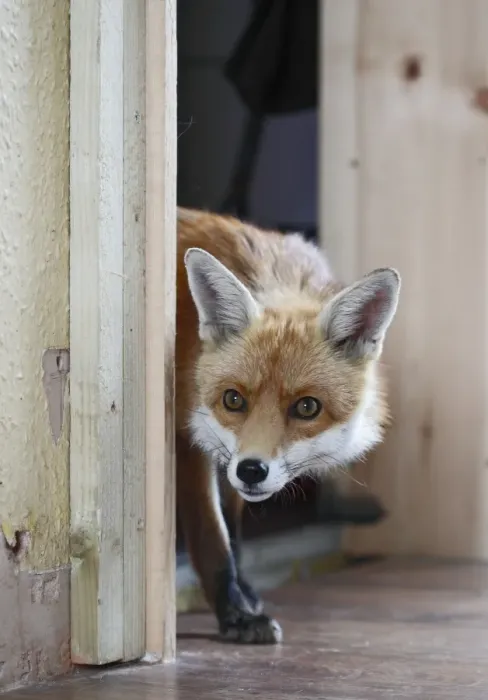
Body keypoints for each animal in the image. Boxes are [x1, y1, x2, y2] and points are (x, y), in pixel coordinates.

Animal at [176, 207, 401, 645]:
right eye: (233, 399)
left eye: (307, 407)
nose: (252, 470)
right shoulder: (184, 439)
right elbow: (213, 538)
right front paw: (235, 615)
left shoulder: (227, 454)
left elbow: (234, 534)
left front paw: (244, 595)